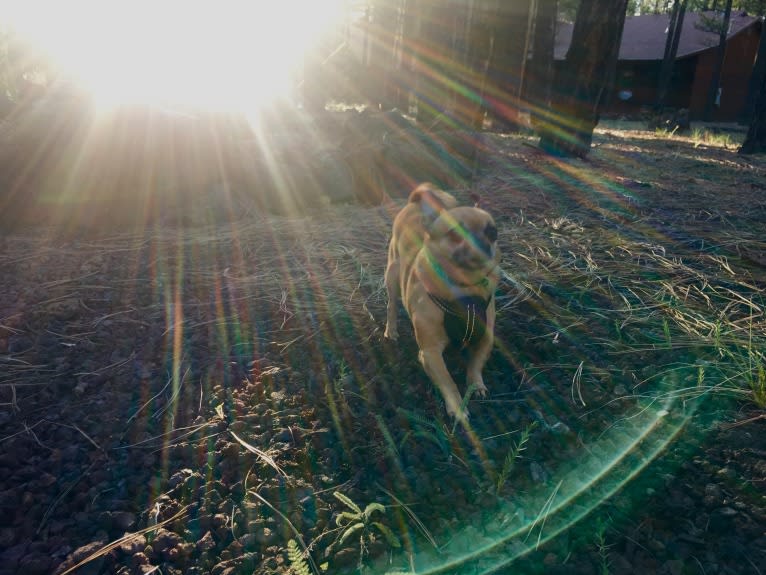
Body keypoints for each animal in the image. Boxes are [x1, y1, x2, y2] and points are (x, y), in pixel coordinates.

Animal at [384, 182, 504, 420]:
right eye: (455, 234)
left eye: (492, 232)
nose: (481, 241)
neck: (464, 287)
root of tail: (413, 203)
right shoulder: (430, 352)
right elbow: (448, 381)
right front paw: (458, 407)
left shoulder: (485, 339)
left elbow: (475, 365)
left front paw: (476, 385)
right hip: (392, 274)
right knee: (391, 305)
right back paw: (390, 330)